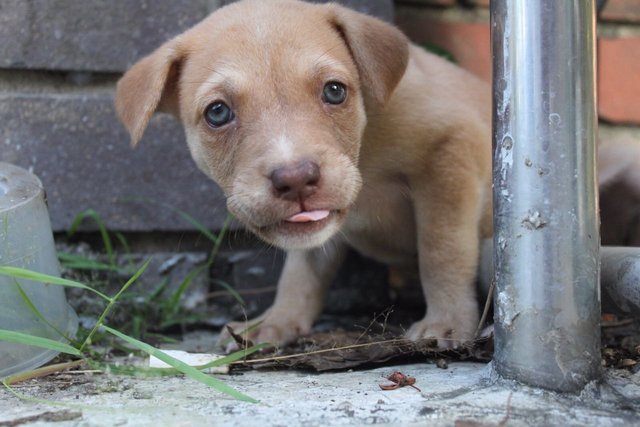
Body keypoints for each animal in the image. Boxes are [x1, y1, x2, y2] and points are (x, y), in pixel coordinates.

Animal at [115, 0, 552, 350]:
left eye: (335, 91)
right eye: (218, 112)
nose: (295, 178)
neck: (364, 149)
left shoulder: (453, 151)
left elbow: (442, 249)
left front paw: (446, 322)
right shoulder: (314, 231)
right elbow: (301, 271)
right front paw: (277, 321)